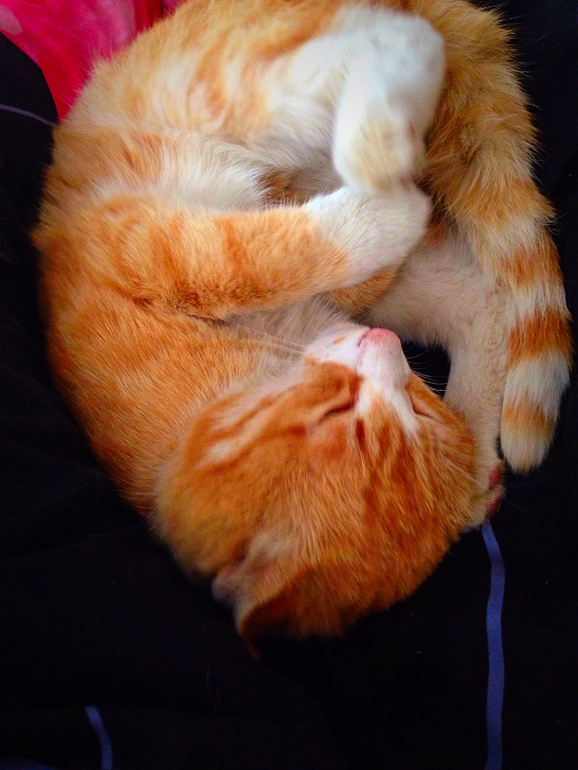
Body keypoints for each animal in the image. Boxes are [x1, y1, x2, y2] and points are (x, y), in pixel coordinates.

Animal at [36, 0, 571, 642]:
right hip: (240, 93)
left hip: (257, 85)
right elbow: (274, 256)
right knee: (484, 297)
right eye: (339, 414)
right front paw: (387, 212)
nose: (385, 345)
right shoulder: (156, 248)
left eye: (417, 407)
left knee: (377, 48)